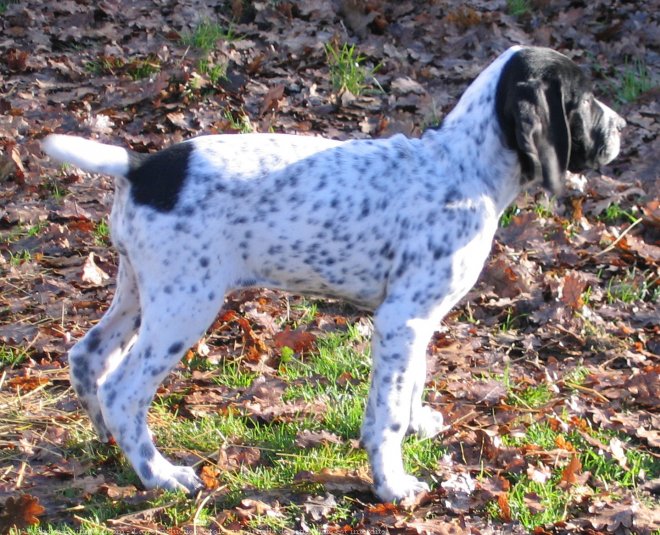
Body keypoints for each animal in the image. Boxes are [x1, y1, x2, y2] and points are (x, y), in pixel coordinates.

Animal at [41, 46, 624, 502]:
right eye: (582, 100)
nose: (622, 128)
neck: (464, 169)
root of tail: (141, 168)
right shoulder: (402, 319)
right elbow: (386, 412)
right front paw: (392, 484)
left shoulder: (417, 322)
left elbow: (412, 383)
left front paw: (420, 424)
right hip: (185, 303)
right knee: (124, 389)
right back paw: (159, 474)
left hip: (140, 290)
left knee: (88, 356)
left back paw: (105, 441)